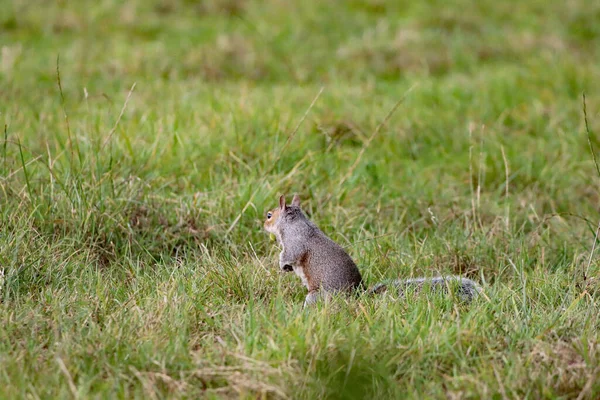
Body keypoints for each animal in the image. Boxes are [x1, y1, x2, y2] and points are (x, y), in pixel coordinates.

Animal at [262, 195, 482, 308]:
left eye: (269, 215)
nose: (263, 225)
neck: (294, 222)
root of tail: (358, 296)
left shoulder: (295, 242)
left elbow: (290, 255)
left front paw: (283, 265)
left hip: (318, 295)